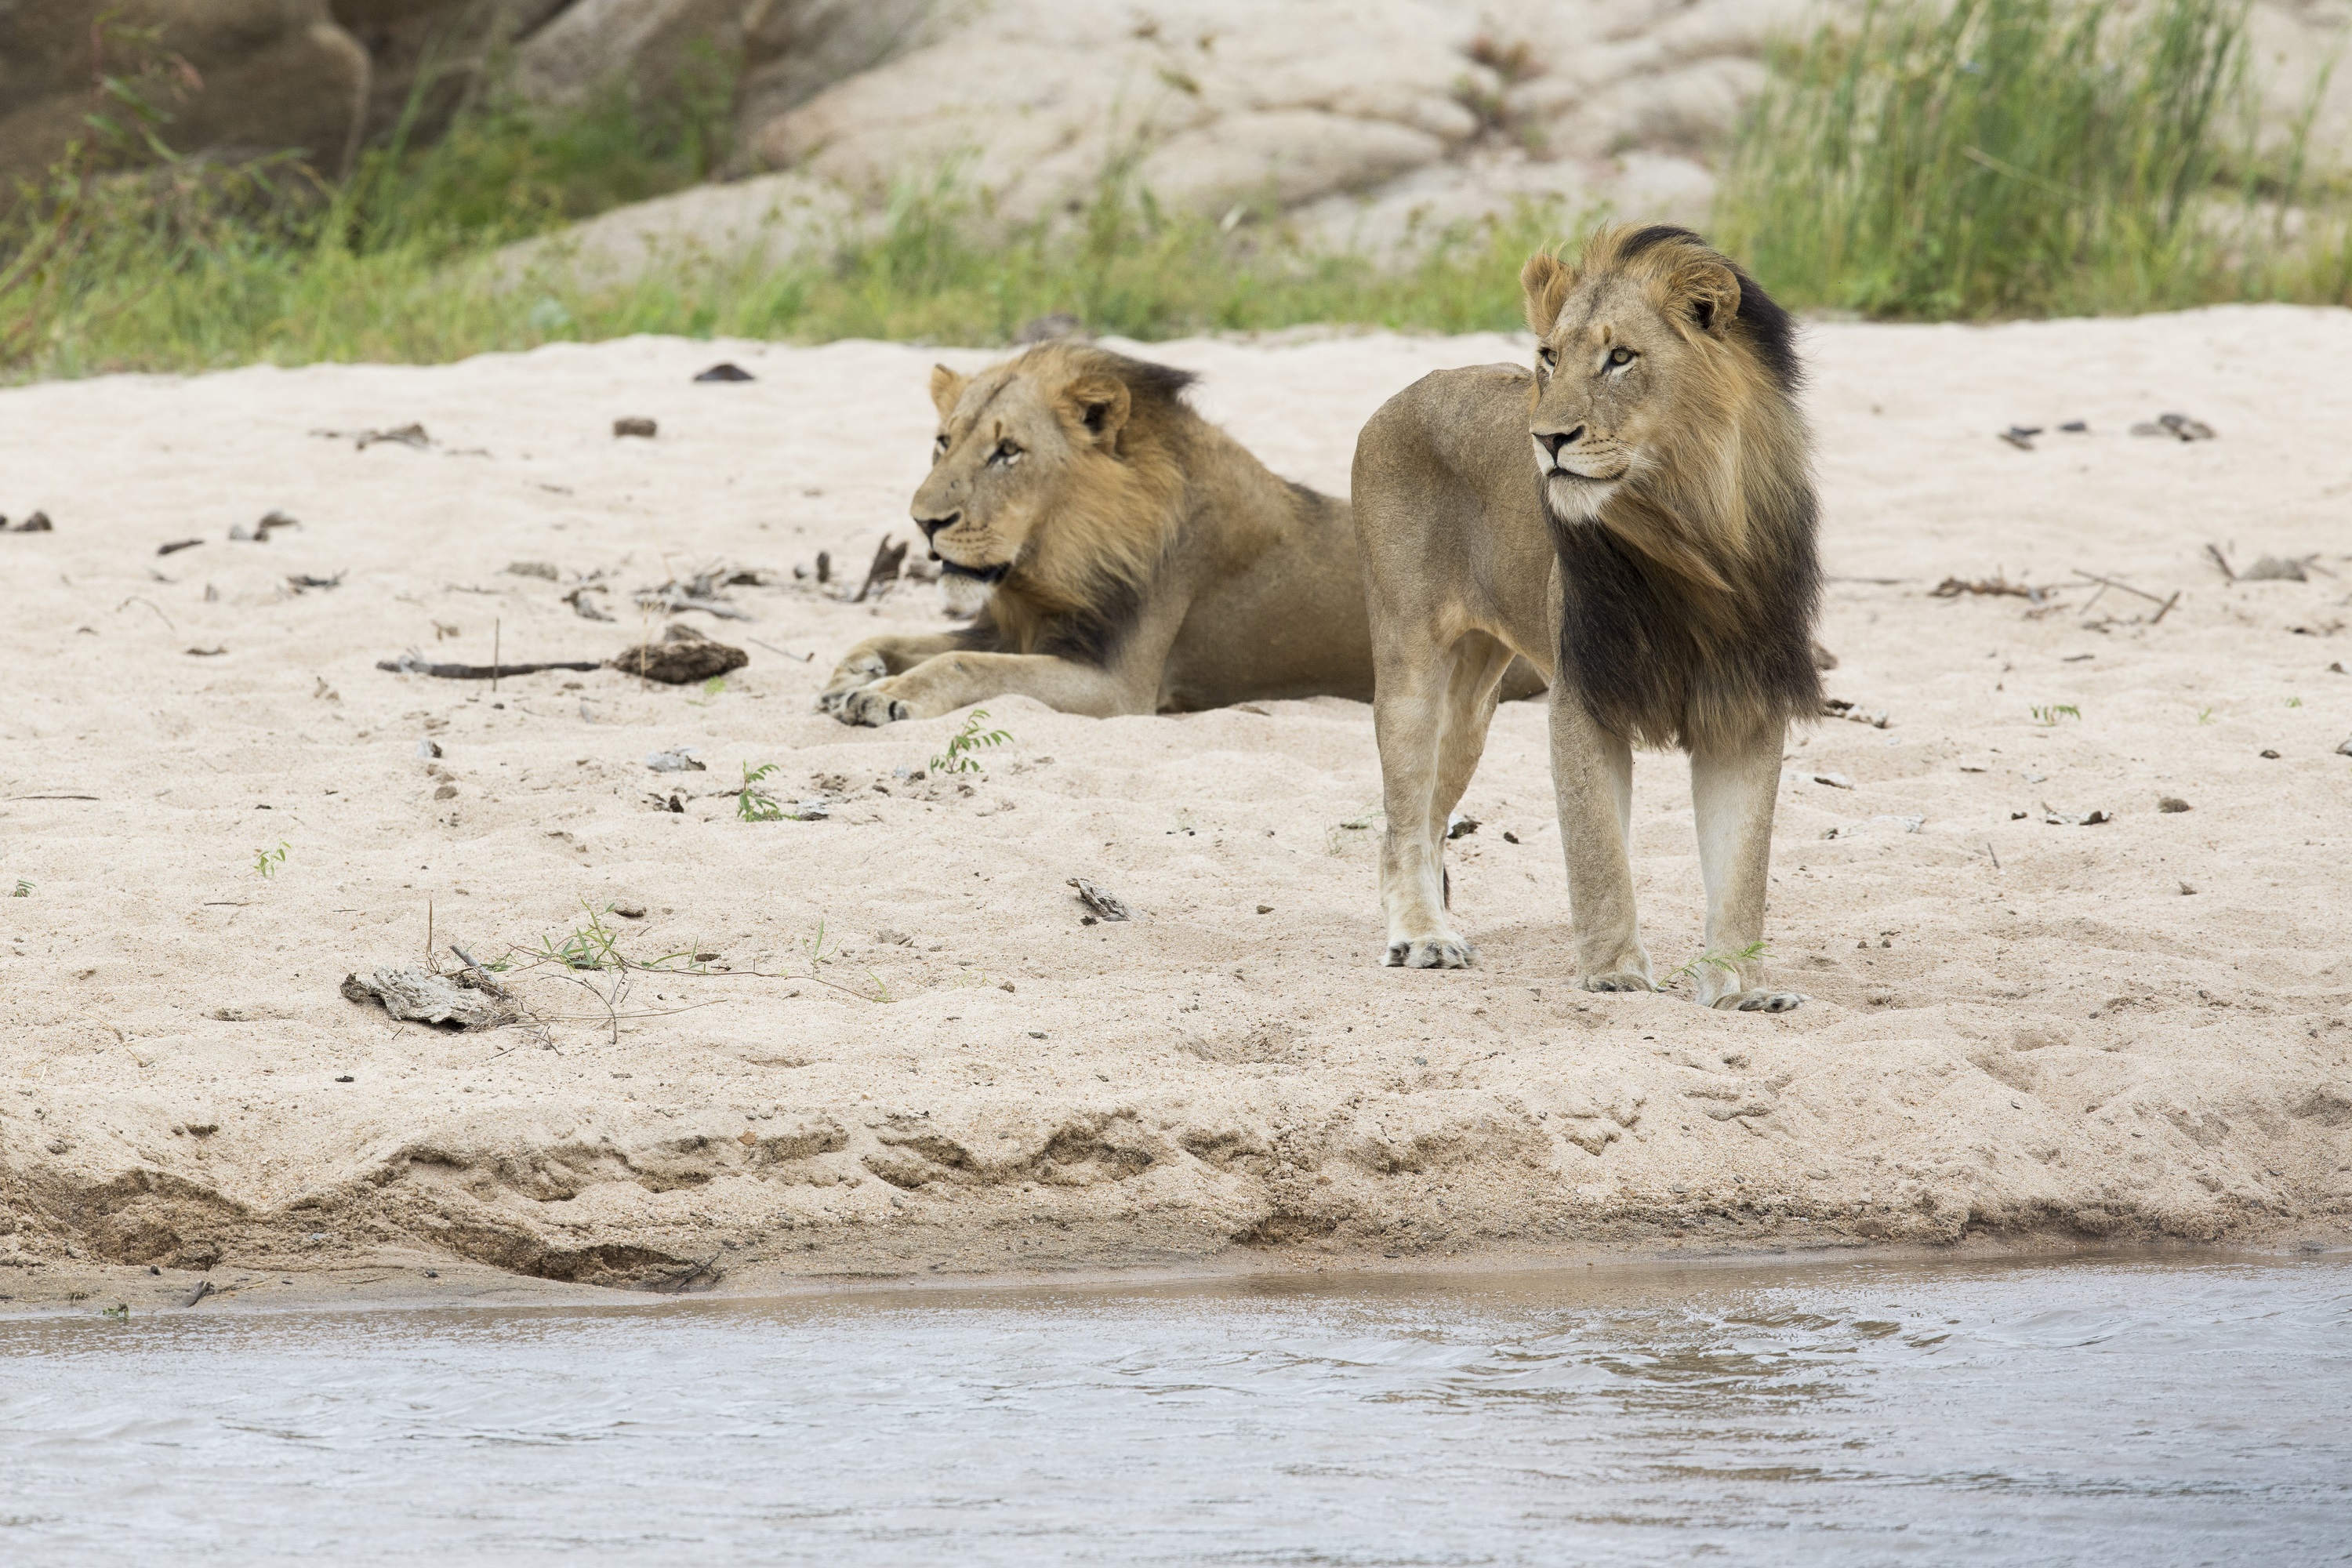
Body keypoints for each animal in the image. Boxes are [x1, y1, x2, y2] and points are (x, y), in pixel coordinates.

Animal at [818, 341, 1385, 724]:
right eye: (943, 442)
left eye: (1008, 451)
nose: (924, 521)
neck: (1053, 561)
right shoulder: (1009, 630)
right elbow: (895, 637)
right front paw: (850, 676)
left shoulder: (1117, 687)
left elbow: (963, 664)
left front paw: (886, 694)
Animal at [1351, 224, 1821, 1011]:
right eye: (1549, 356)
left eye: (1621, 357)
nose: (1546, 439)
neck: (1692, 533)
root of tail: (1409, 389)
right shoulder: (1584, 694)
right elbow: (1598, 849)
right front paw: (1615, 974)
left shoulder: (1747, 704)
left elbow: (1743, 865)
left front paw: (1741, 988)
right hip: (1411, 664)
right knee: (1401, 819)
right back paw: (1423, 937)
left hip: (1472, 707)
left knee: (1433, 815)